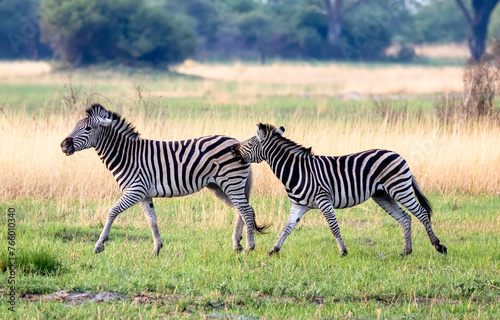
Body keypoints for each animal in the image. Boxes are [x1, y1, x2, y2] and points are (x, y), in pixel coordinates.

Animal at [60, 105, 268, 255]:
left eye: (88, 128)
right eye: (75, 125)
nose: (63, 145)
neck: (127, 155)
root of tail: (237, 143)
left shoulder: (135, 191)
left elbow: (112, 212)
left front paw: (99, 244)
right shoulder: (144, 195)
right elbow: (152, 220)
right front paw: (156, 249)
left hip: (231, 183)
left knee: (247, 211)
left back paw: (249, 247)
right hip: (219, 186)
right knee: (240, 211)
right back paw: (237, 244)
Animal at [232, 124, 448, 256]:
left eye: (249, 144)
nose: (233, 149)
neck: (296, 171)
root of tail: (398, 155)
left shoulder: (323, 199)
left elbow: (334, 227)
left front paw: (343, 251)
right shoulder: (298, 205)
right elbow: (287, 227)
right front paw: (273, 250)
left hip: (400, 188)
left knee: (421, 213)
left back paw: (438, 245)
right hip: (383, 195)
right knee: (405, 218)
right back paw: (406, 251)